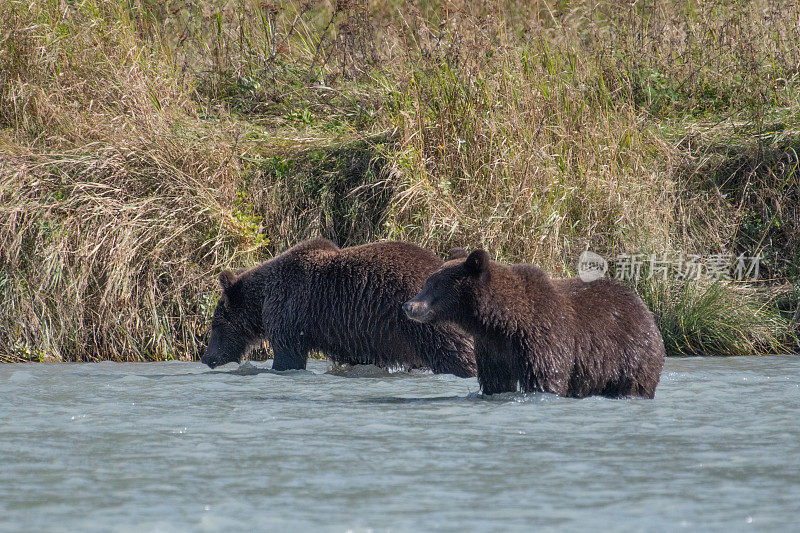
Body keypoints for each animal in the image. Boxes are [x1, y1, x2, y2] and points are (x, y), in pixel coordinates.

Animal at [202, 239, 476, 376]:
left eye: (215, 324)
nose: (207, 358)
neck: (263, 300)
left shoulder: (291, 311)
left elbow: (288, 355)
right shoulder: (355, 335)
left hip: (423, 319)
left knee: (453, 352)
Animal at [404, 248, 664, 394]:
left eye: (434, 284)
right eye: (427, 281)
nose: (409, 305)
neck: (501, 322)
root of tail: (643, 307)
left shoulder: (542, 338)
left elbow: (545, 378)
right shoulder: (493, 349)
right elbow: (495, 381)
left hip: (631, 354)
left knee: (635, 384)